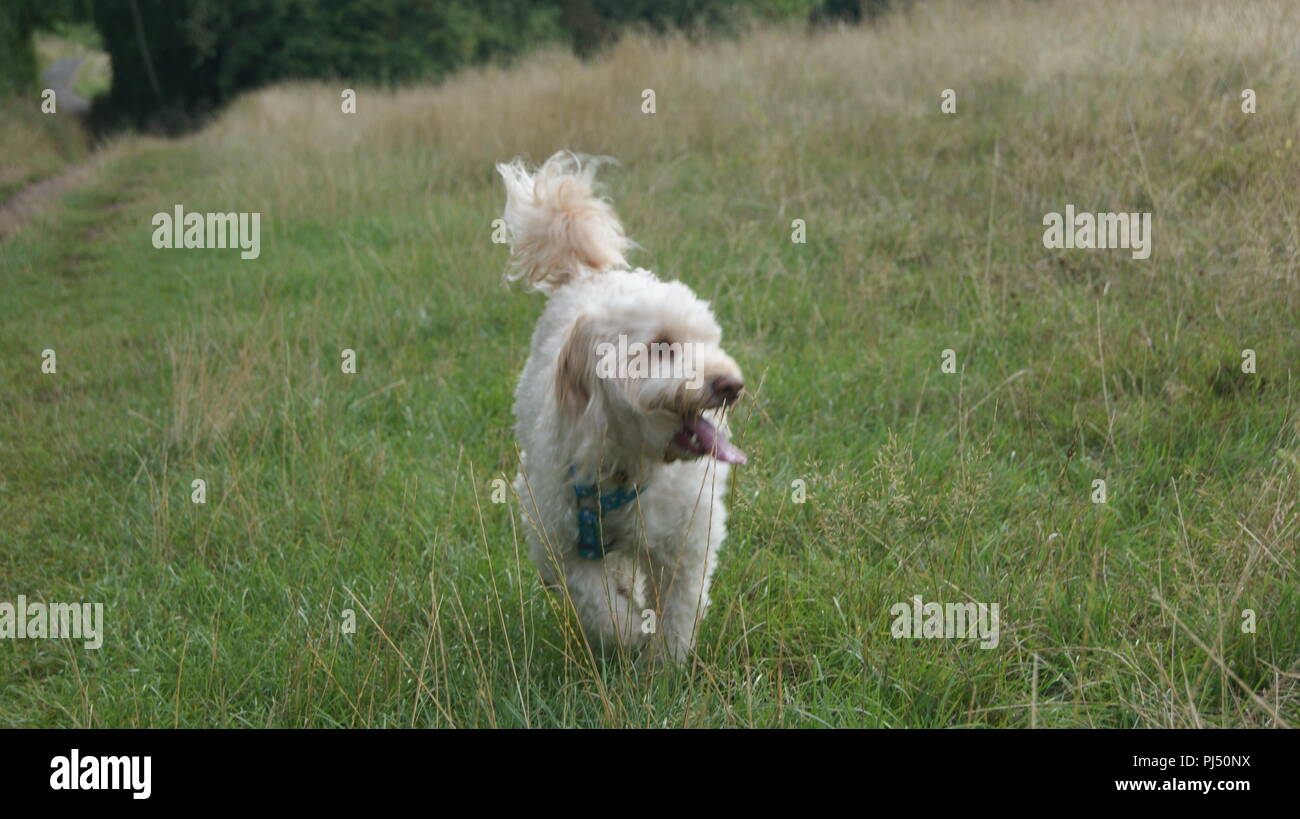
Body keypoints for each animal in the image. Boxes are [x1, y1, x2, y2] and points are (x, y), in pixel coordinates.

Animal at [493, 154, 743, 665]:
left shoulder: (687, 537)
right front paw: (628, 633)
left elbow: (680, 606)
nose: (731, 385)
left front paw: (666, 663)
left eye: (711, 342)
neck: (628, 466)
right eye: (661, 345)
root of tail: (592, 274)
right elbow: (598, 603)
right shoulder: (559, 539)